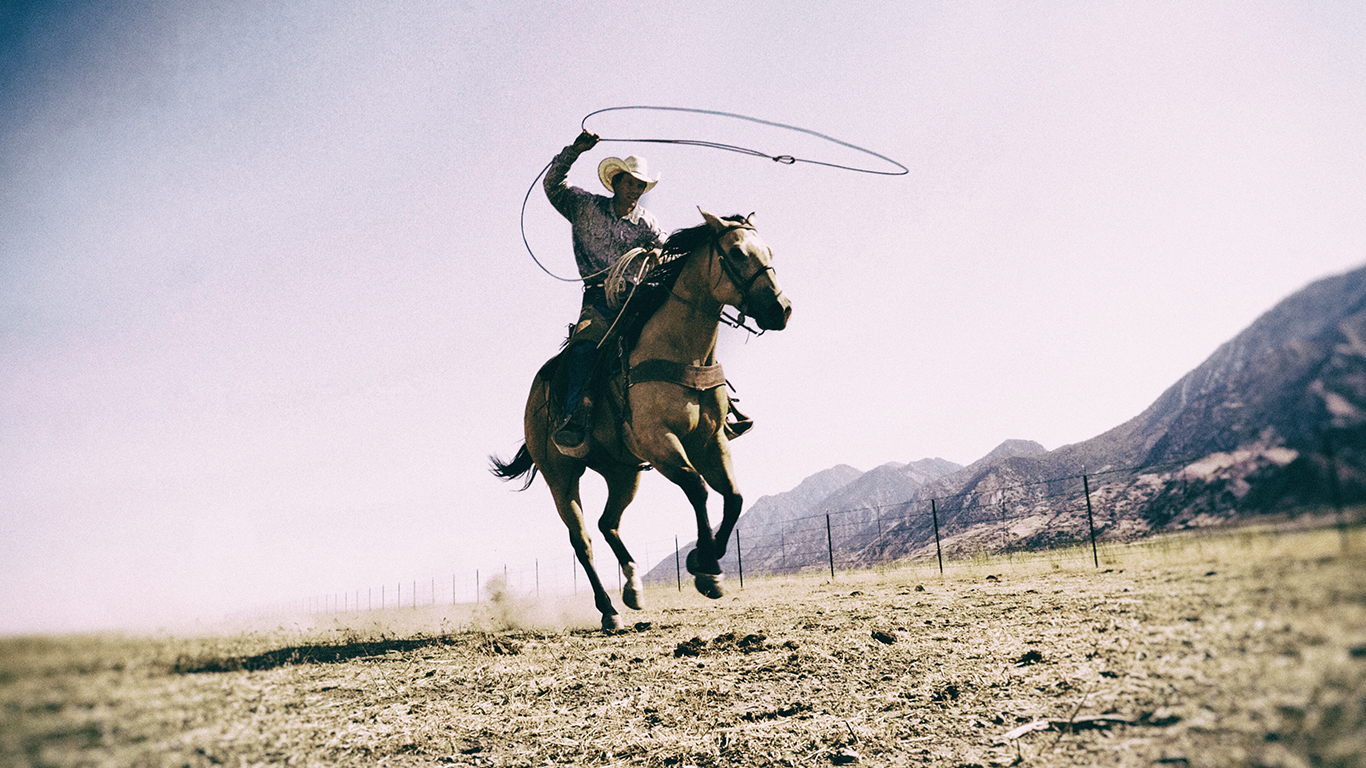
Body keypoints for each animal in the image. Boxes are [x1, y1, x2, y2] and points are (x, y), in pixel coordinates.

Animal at [491, 209, 792, 628]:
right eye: (736, 252)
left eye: (769, 252)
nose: (781, 309)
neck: (679, 350)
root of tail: (536, 394)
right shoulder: (659, 440)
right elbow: (698, 488)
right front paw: (704, 567)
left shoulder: (711, 440)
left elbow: (733, 497)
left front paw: (707, 563)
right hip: (561, 477)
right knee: (582, 539)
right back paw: (608, 610)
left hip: (623, 471)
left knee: (608, 523)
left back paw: (633, 587)